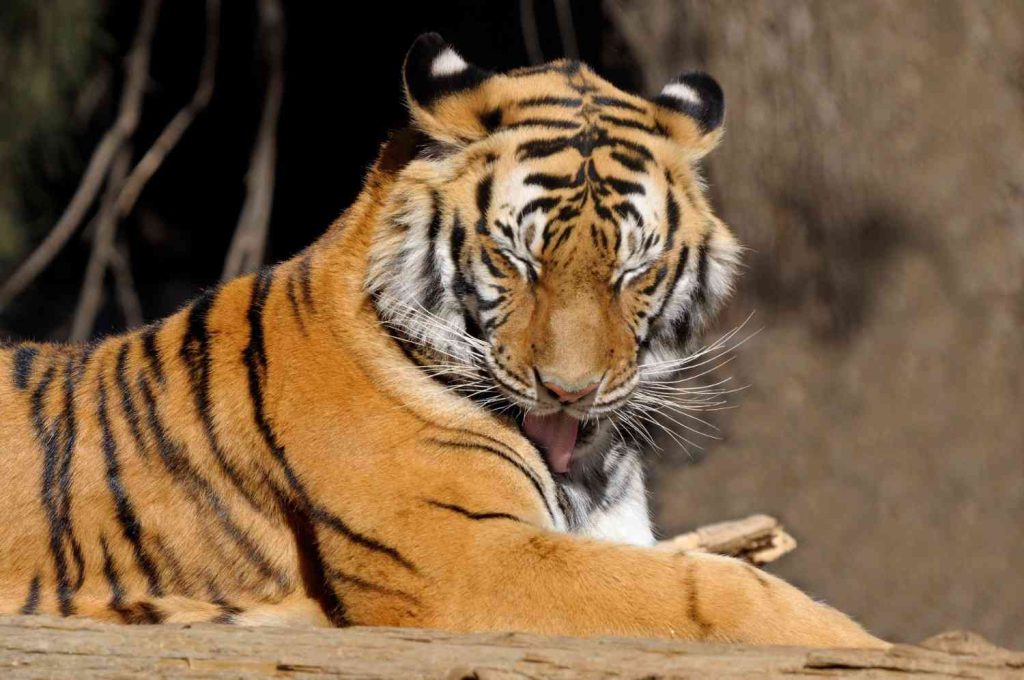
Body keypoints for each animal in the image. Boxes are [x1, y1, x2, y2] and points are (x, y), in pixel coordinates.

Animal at [0, 34, 884, 647]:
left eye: (633, 270)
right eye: (516, 260)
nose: (571, 392)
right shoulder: (468, 555)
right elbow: (710, 590)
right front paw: (859, 641)